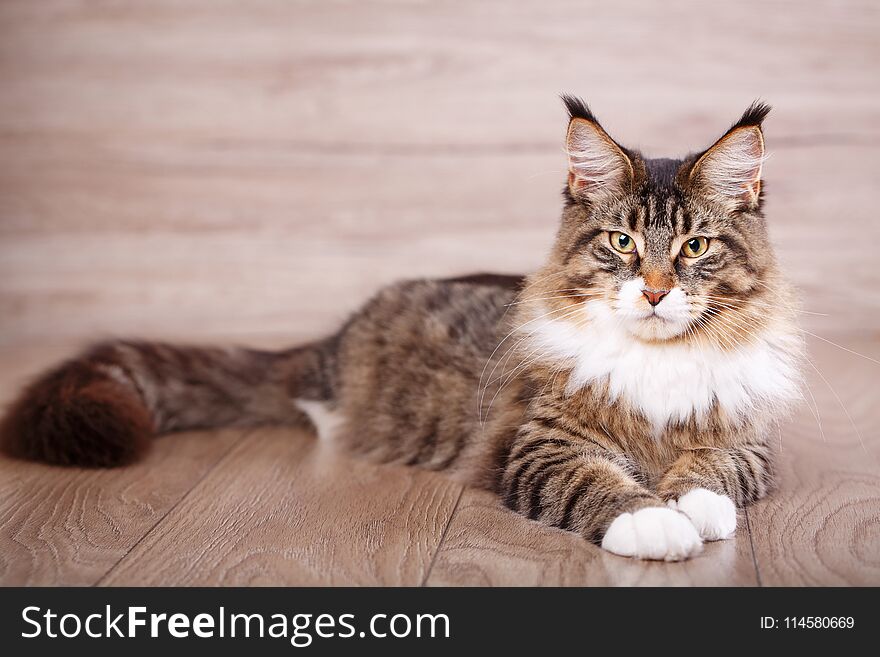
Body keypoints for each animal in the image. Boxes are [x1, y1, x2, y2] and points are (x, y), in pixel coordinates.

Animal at [0, 96, 804, 560]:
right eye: (622, 243)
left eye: (694, 247)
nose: (657, 291)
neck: (656, 363)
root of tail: (328, 339)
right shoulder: (536, 445)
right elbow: (595, 482)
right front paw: (654, 521)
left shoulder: (746, 436)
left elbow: (715, 471)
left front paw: (691, 504)